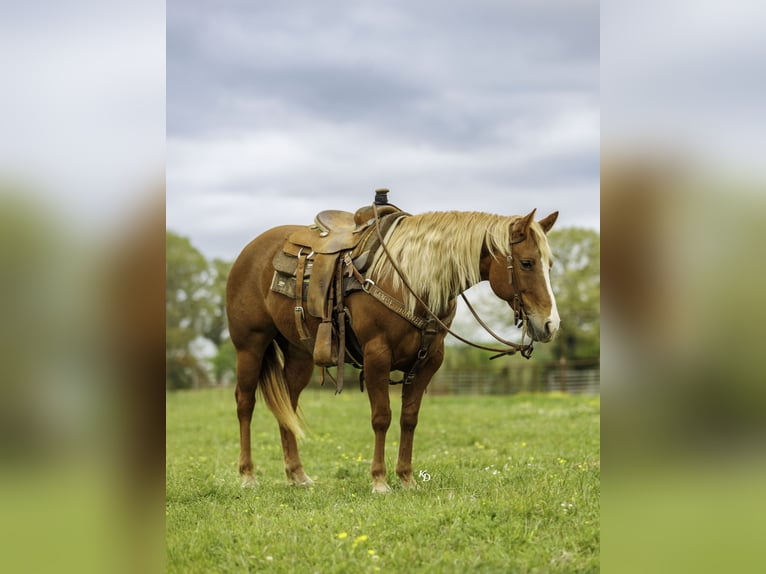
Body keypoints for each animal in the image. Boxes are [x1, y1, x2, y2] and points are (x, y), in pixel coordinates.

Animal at [226, 203, 560, 493]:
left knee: (288, 405)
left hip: (300, 355)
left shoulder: (429, 361)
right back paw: (247, 475)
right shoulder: (377, 355)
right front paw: (379, 480)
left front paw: (407, 478)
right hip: (250, 346)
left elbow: (409, 419)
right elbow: (382, 417)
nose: (551, 324)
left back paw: (297, 475)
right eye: (527, 263)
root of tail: (248, 252)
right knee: (245, 403)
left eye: (550, 265)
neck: (409, 279)